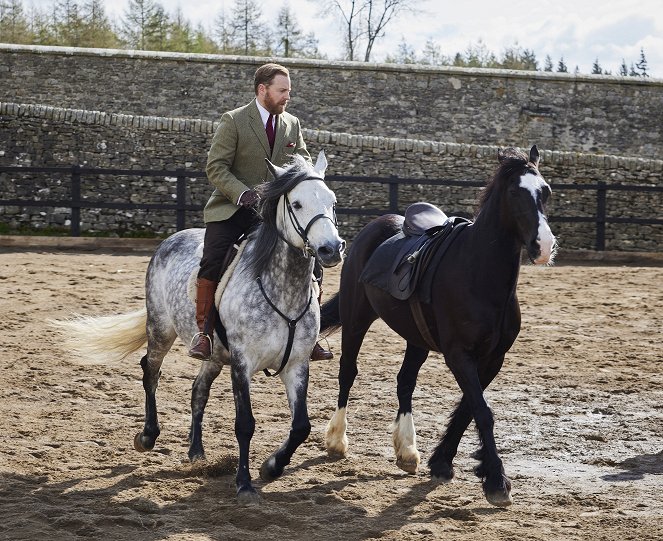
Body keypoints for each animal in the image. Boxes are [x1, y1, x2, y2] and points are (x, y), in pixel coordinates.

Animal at [320, 144, 556, 506]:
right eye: (515, 193)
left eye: (545, 191)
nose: (543, 246)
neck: (479, 274)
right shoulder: (459, 355)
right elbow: (482, 411)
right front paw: (496, 481)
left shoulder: (493, 358)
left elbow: (469, 409)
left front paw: (443, 462)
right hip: (356, 318)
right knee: (348, 372)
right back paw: (336, 441)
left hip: (415, 338)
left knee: (405, 382)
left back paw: (406, 451)